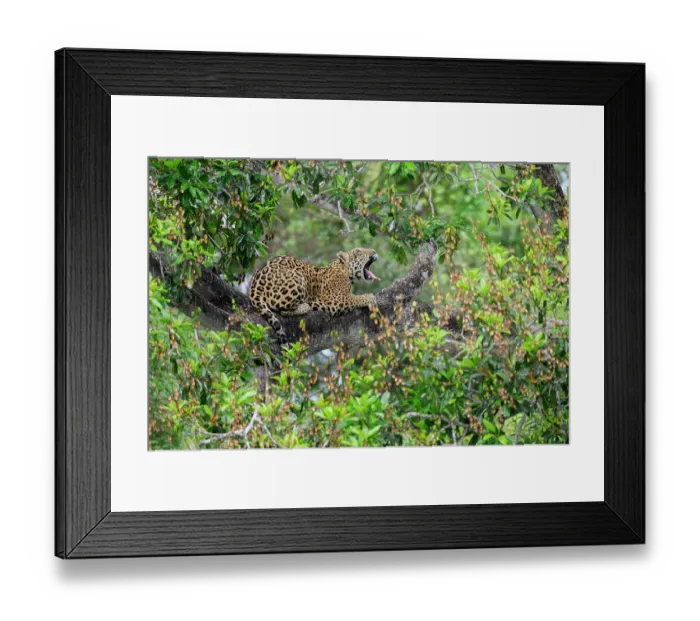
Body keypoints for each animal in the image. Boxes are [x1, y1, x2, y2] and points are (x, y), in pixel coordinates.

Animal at [249, 247, 381, 343]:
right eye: (358, 251)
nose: (374, 251)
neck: (345, 271)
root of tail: (254, 286)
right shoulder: (336, 301)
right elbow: (356, 298)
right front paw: (370, 297)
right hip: (297, 277)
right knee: (281, 309)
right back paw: (305, 306)